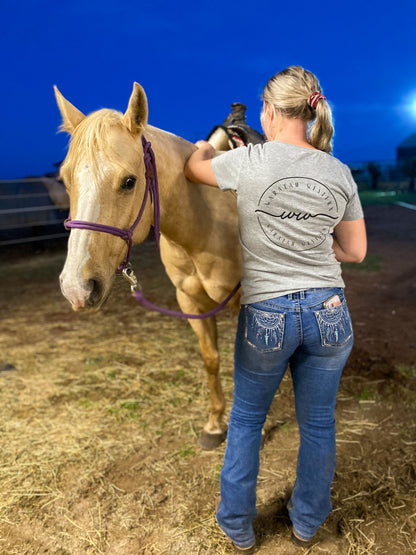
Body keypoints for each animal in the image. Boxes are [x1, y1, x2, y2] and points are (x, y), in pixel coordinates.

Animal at [55, 83, 244, 452]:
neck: (207, 223)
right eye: (65, 180)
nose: (75, 287)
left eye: (129, 181)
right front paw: (215, 424)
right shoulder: (190, 301)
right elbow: (211, 359)